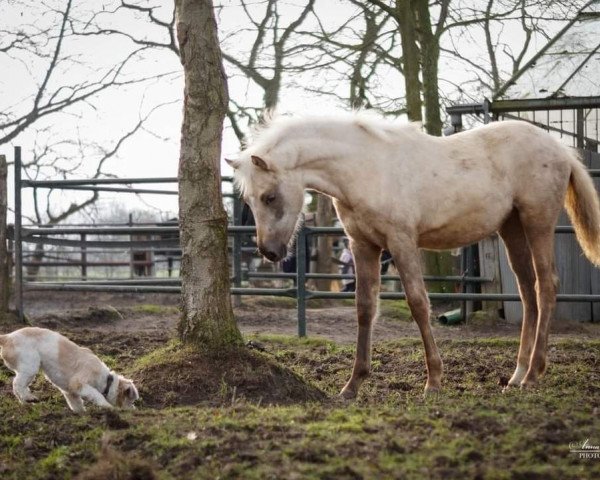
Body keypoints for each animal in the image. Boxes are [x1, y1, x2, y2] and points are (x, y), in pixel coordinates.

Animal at [0, 326, 138, 412]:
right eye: (130, 400)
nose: (134, 410)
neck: (106, 379)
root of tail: (7, 337)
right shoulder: (79, 384)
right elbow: (96, 394)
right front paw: (107, 407)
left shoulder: (70, 392)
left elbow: (76, 404)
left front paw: (82, 414)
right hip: (30, 366)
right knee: (17, 384)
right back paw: (29, 397)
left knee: (17, 388)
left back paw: (25, 403)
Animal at [227, 114, 600, 400]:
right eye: (248, 200)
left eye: (270, 196)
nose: (269, 252)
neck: (365, 168)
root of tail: (560, 149)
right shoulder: (363, 246)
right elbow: (365, 309)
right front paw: (352, 385)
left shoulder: (402, 243)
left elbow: (419, 304)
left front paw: (433, 381)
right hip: (512, 229)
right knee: (527, 291)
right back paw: (517, 374)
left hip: (538, 222)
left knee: (546, 285)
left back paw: (533, 374)